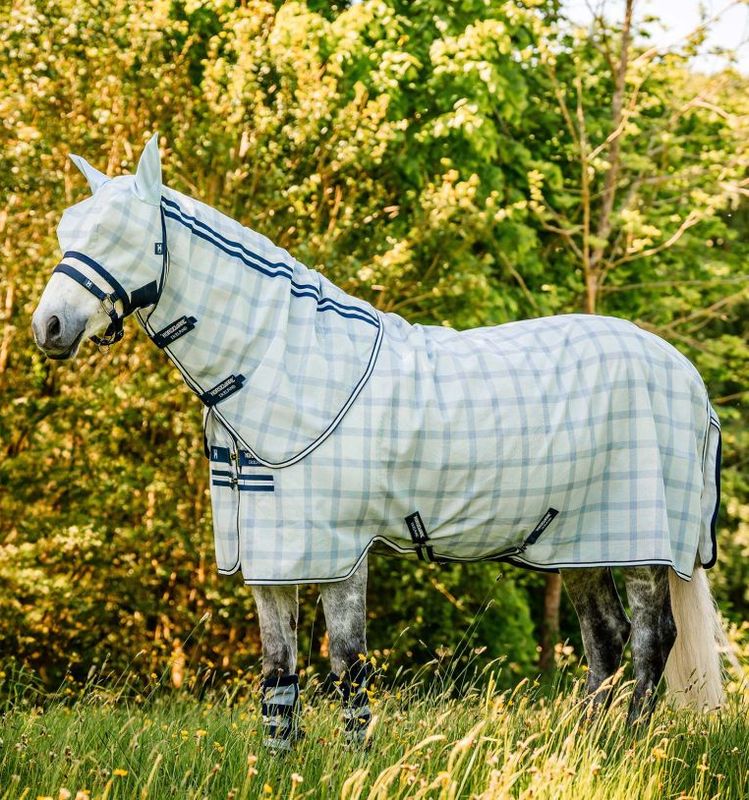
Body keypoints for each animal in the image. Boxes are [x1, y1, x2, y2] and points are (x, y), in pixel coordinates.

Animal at [32, 135, 727, 749]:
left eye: (120, 232)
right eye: (69, 230)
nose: (49, 327)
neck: (288, 361)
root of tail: (685, 376)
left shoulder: (339, 550)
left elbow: (347, 666)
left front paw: (355, 761)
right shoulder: (272, 556)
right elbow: (278, 672)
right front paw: (278, 765)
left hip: (640, 544)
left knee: (650, 640)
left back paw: (625, 747)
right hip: (576, 541)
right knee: (605, 636)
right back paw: (581, 748)